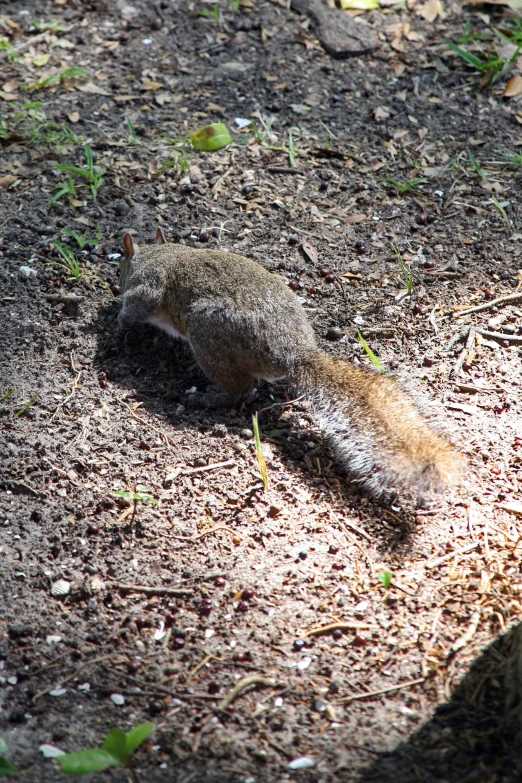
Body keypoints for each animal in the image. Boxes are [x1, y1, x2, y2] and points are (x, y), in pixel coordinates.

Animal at [117, 228, 460, 496]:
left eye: (120, 266)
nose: (115, 282)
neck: (159, 253)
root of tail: (293, 352)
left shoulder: (150, 286)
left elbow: (138, 304)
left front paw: (118, 318)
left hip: (207, 333)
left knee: (242, 391)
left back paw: (205, 398)